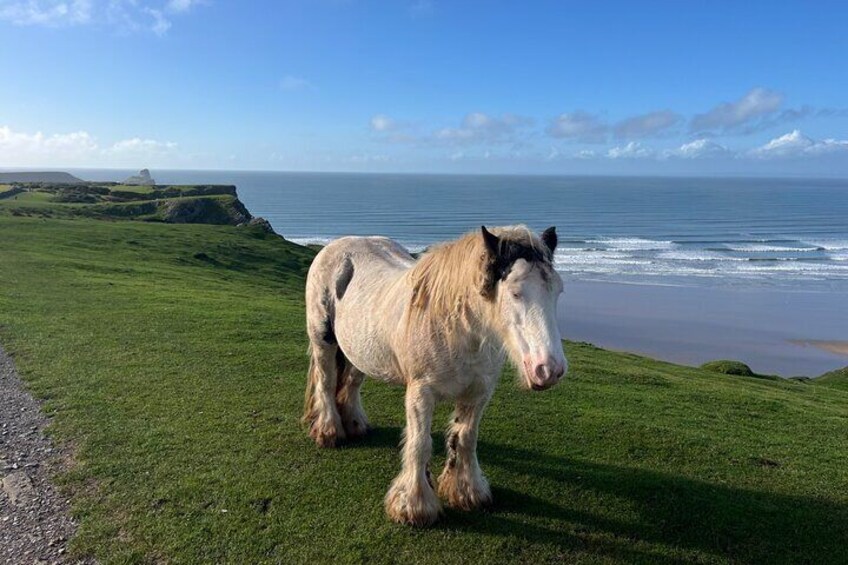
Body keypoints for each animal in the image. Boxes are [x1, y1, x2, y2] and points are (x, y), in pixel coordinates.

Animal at [302, 224, 568, 524]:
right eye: (515, 293)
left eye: (557, 291)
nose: (549, 370)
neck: (458, 329)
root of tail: (337, 246)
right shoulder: (421, 394)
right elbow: (420, 444)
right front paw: (414, 506)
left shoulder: (478, 393)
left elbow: (465, 439)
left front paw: (467, 492)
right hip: (322, 341)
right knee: (326, 383)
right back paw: (329, 431)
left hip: (360, 350)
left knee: (351, 383)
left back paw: (356, 425)